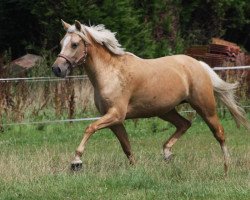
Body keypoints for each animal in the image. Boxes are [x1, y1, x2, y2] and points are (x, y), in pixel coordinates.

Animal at [52, 19, 248, 173]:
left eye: (74, 44)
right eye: (62, 43)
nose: (57, 69)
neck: (110, 72)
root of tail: (199, 65)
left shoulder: (115, 115)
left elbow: (90, 128)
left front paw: (76, 162)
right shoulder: (115, 120)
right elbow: (126, 146)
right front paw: (135, 168)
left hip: (205, 108)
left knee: (219, 133)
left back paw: (226, 167)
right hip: (165, 110)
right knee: (184, 124)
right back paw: (167, 154)